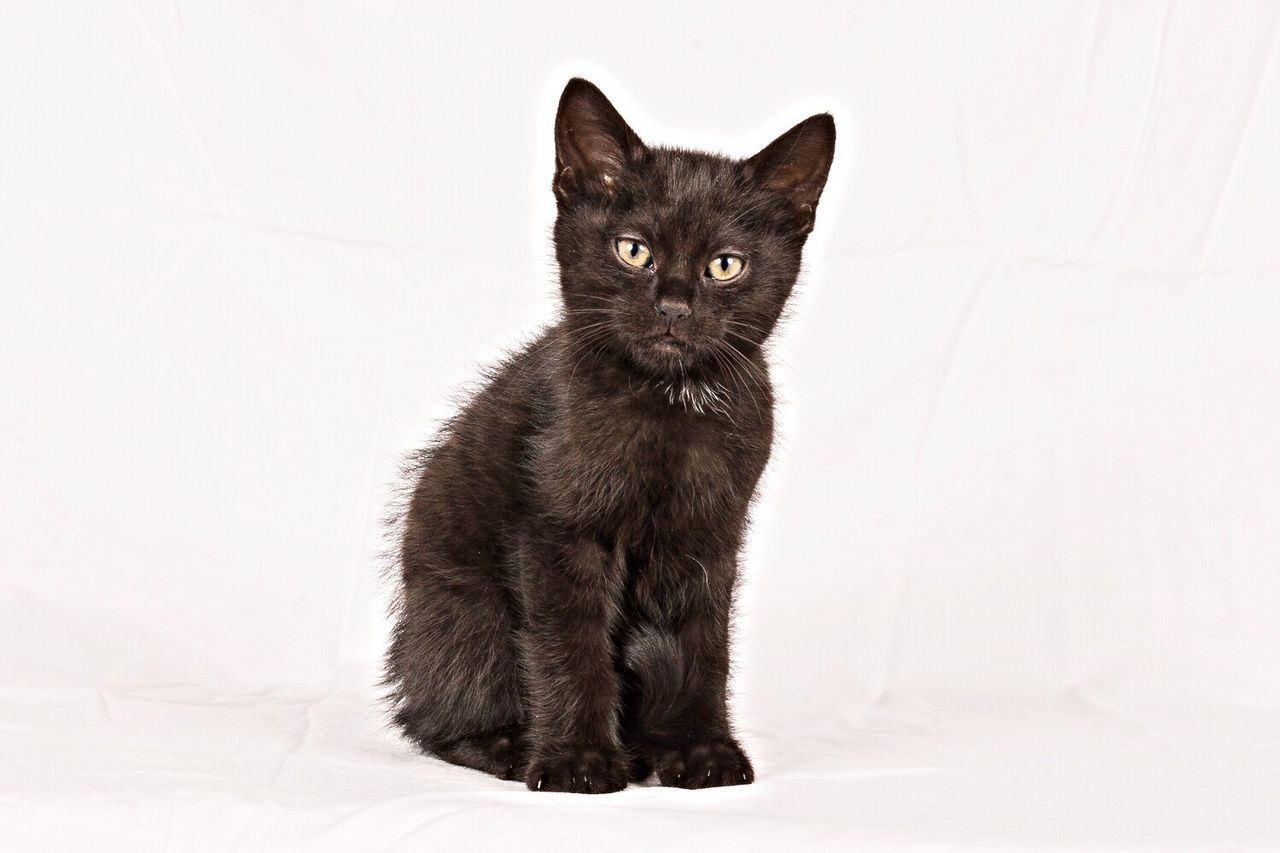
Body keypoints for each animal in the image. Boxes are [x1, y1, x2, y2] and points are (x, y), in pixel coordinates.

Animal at [384, 79, 834, 788]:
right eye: (633, 250)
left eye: (725, 265)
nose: (673, 305)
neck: (667, 405)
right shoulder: (559, 530)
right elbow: (569, 641)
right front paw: (577, 760)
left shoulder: (708, 534)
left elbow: (700, 644)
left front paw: (697, 750)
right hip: (466, 612)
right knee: (438, 713)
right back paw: (510, 746)